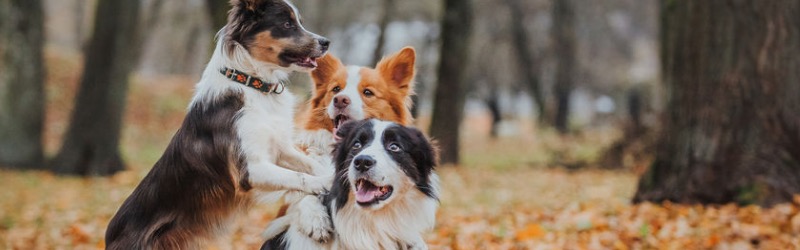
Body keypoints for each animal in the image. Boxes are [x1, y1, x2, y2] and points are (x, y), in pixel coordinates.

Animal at [105, 0, 332, 249]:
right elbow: (297, 178)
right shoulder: (249, 170)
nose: (326, 42)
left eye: (299, 22)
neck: (252, 84)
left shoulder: (280, 149)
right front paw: (325, 183)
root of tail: (109, 235)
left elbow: (309, 166)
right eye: (287, 24)